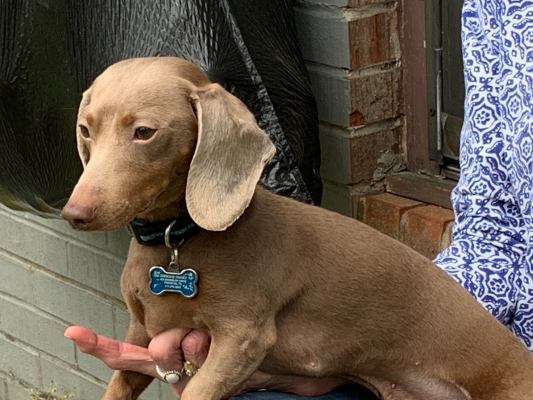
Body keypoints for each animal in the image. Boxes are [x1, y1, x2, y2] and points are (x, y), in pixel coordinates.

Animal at [61, 57, 532, 400]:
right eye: (85, 129)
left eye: (144, 132)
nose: (74, 212)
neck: (175, 243)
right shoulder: (142, 333)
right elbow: (119, 384)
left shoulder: (244, 336)